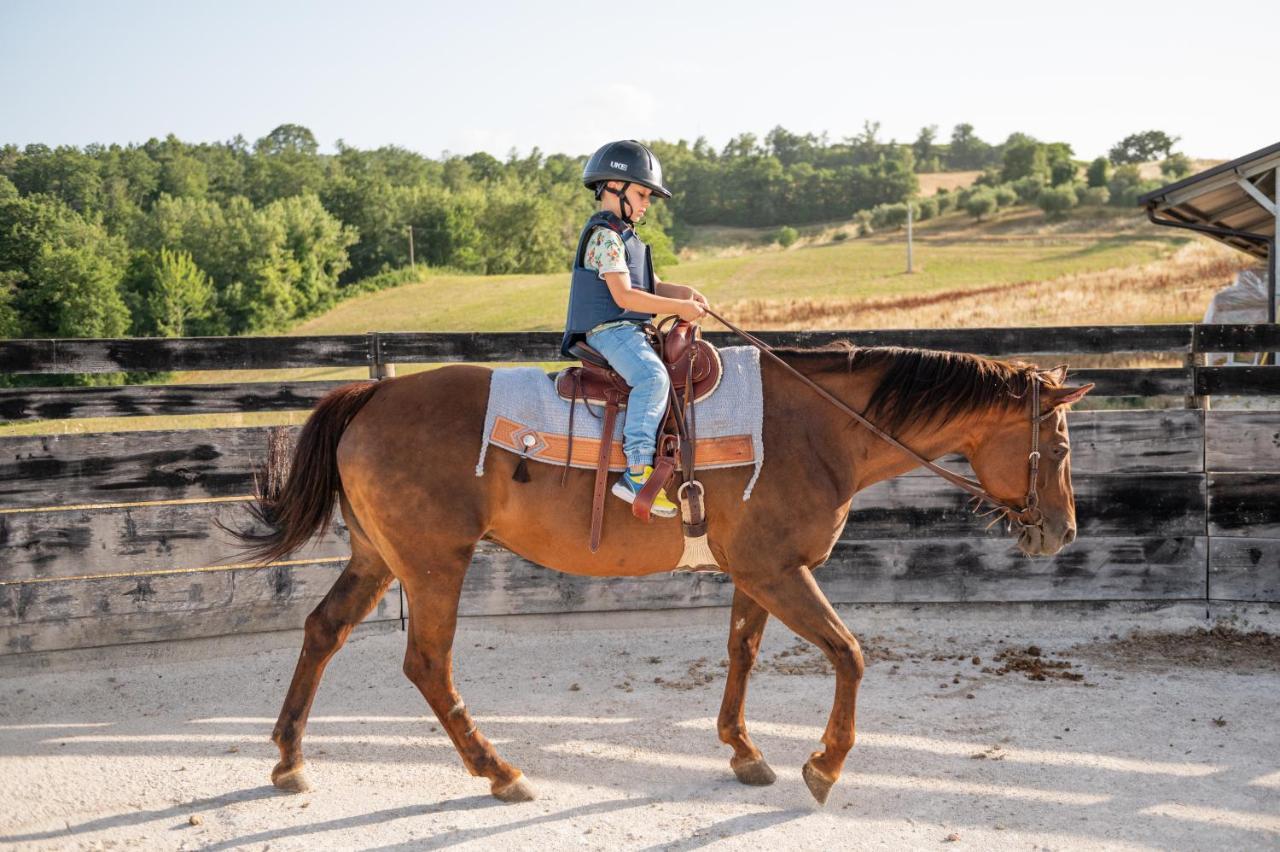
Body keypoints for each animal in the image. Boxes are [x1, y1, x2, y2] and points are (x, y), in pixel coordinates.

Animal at [227, 340, 1090, 803]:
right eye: (1061, 445)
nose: (1062, 532)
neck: (816, 427)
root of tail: (372, 395)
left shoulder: (757, 573)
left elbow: (743, 652)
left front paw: (744, 751)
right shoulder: (780, 570)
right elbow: (849, 653)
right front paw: (823, 765)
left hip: (377, 557)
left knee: (323, 630)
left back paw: (290, 759)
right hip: (434, 564)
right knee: (427, 664)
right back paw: (499, 770)